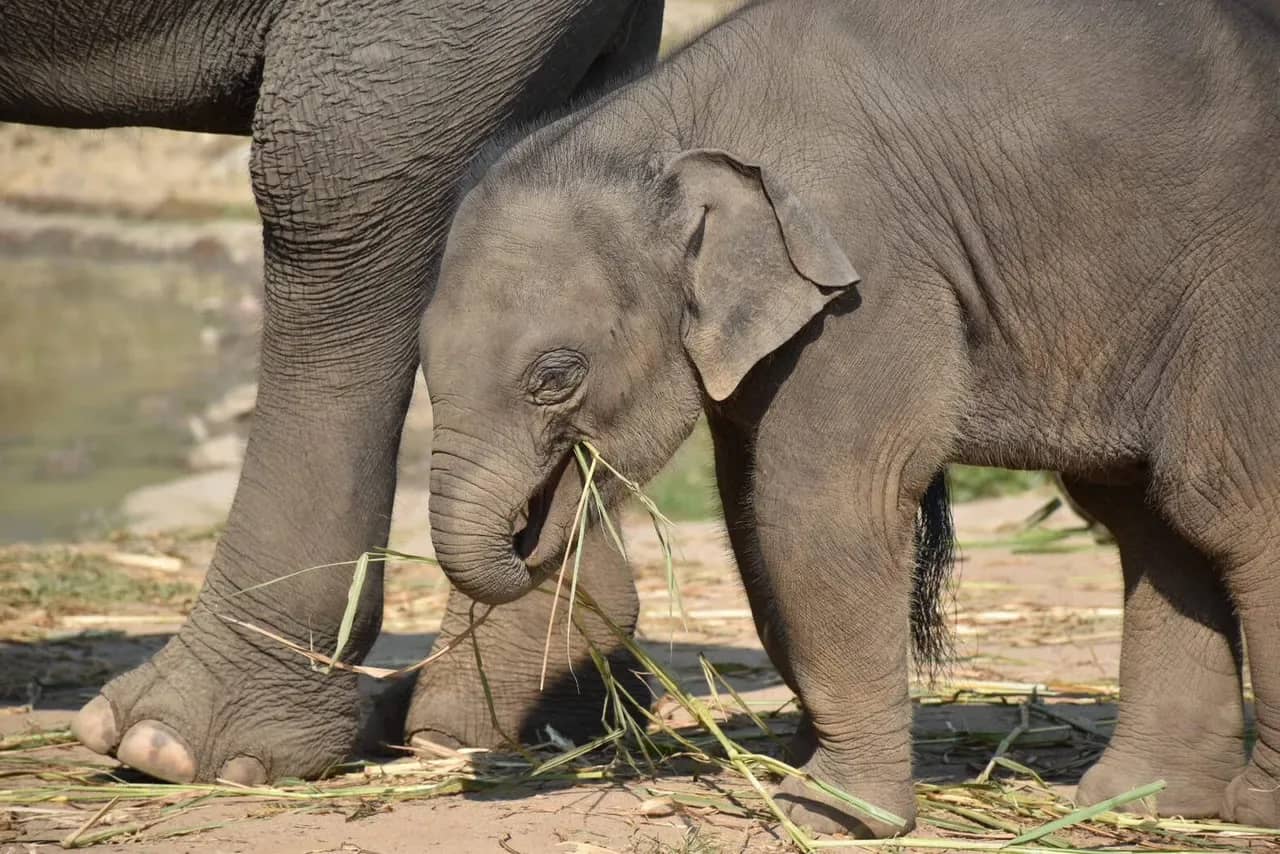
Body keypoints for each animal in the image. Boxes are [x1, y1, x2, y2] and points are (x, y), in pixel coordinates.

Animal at [418, 0, 1280, 837]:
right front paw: (802, 769)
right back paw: (1145, 802)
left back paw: (1241, 808)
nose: (527, 532)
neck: (669, 125)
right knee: (1145, 513)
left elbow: (827, 500)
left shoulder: (868, 270)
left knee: (1227, 501)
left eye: (555, 377)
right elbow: (751, 507)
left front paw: (828, 813)